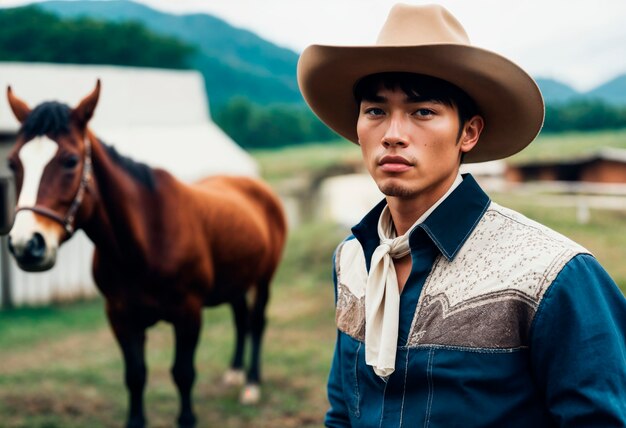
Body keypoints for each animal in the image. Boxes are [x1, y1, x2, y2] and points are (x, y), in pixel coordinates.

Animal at [4, 81, 286, 428]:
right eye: (13, 163)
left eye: (70, 160)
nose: (26, 244)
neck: (144, 242)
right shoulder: (121, 317)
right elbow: (135, 376)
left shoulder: (188, 314)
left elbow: (183, 374)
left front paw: (188, 418)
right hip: (236, 281)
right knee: (241, 318)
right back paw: (235, 373)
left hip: (264, 279)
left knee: (257, 323)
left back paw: (251, 384)